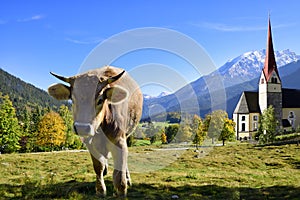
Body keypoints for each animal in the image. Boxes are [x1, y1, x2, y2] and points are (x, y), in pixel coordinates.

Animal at [47, 66, 143, 197]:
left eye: (100, 100)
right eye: (73, 99)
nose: (82, 127)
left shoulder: (119, 141)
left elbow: (119, 175)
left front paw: (122, 189)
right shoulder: (90, 143)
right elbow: (98, 166)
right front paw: (100, 190)